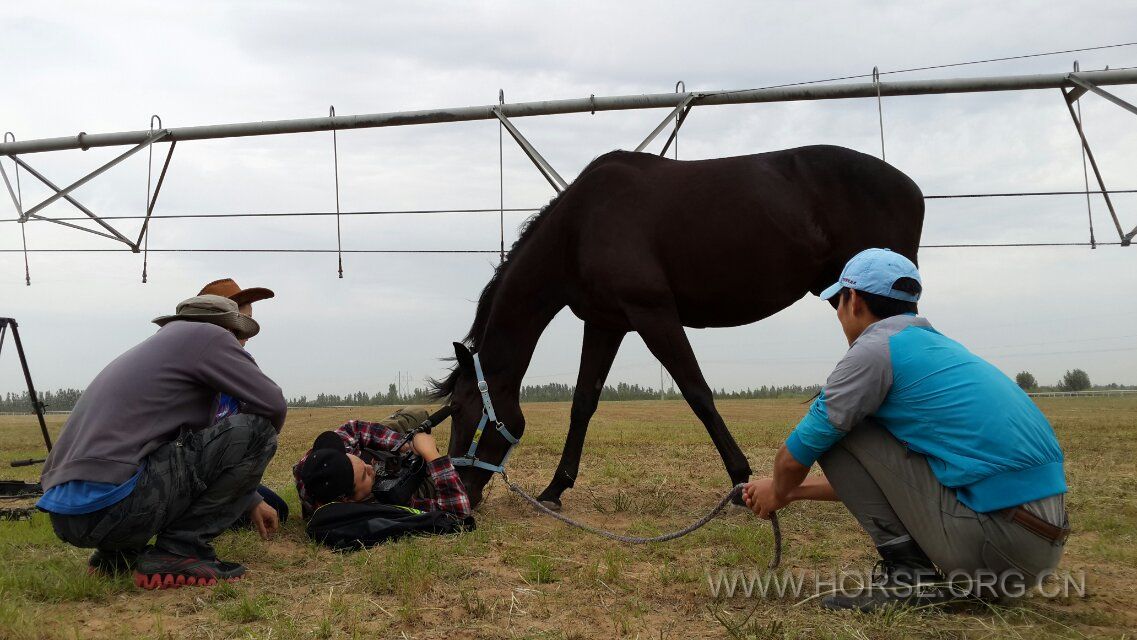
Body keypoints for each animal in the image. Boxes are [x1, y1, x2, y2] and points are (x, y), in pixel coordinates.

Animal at [427, 142, 923, 509]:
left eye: (464, 412)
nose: (462, 492)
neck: (581, 226)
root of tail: (910, 186)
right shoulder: (606, 324)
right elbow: (583, 402)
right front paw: (555, 489)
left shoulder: (654, 315)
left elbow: (697, 393)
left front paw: (740, 480)